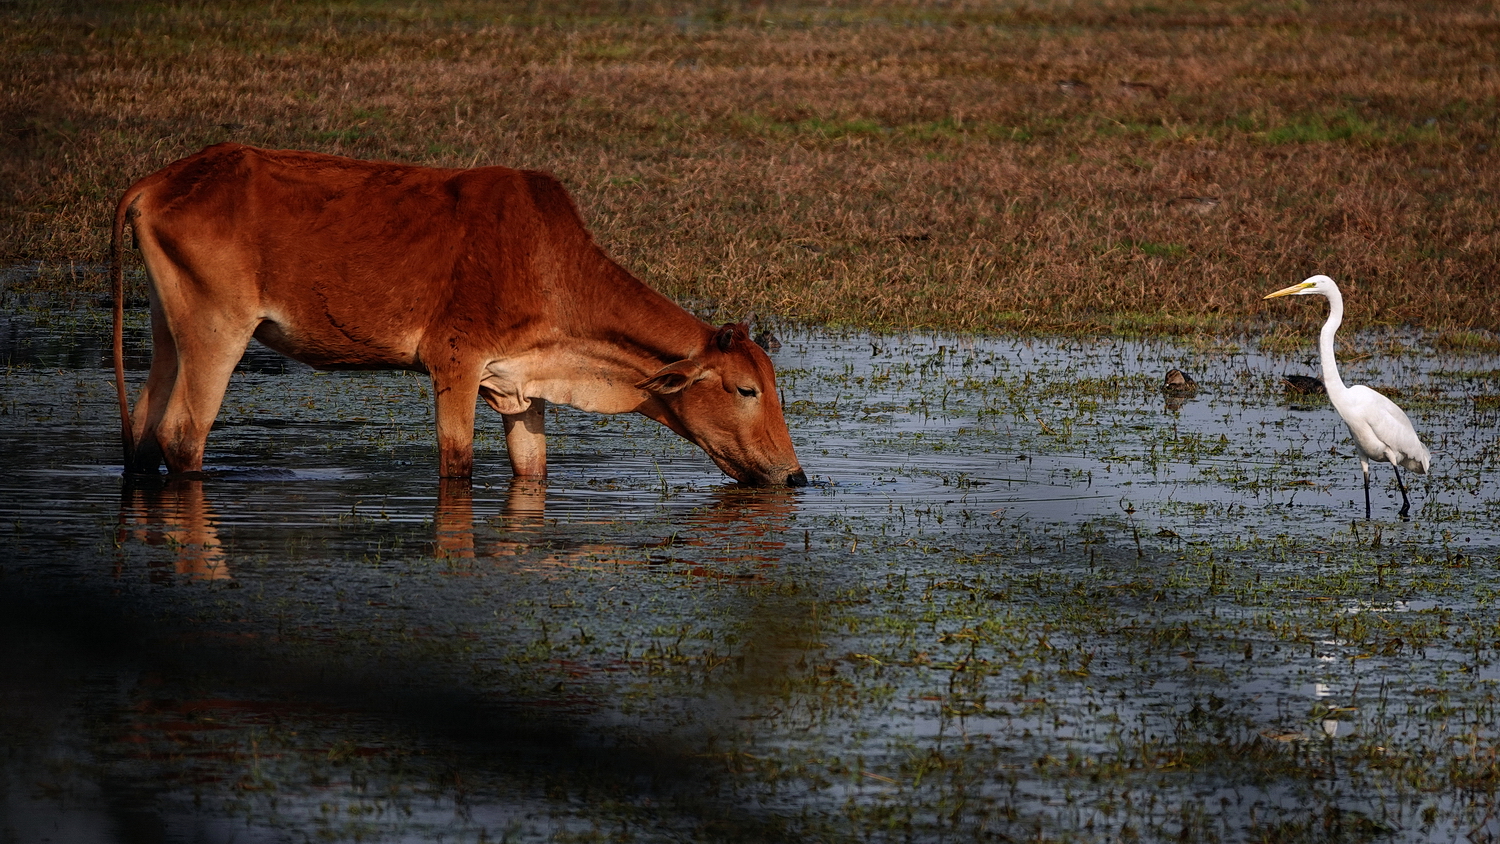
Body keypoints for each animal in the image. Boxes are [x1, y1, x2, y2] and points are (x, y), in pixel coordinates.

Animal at [111, 143, 810, 488]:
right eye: (746, 390)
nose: (795, 474)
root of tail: (152, 184)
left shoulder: (523, 386)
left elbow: (531, 470)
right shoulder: (455, 363)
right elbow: (457, 465)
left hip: (168, 331)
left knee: (143, 427)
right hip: (217, 331)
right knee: (182, 436)